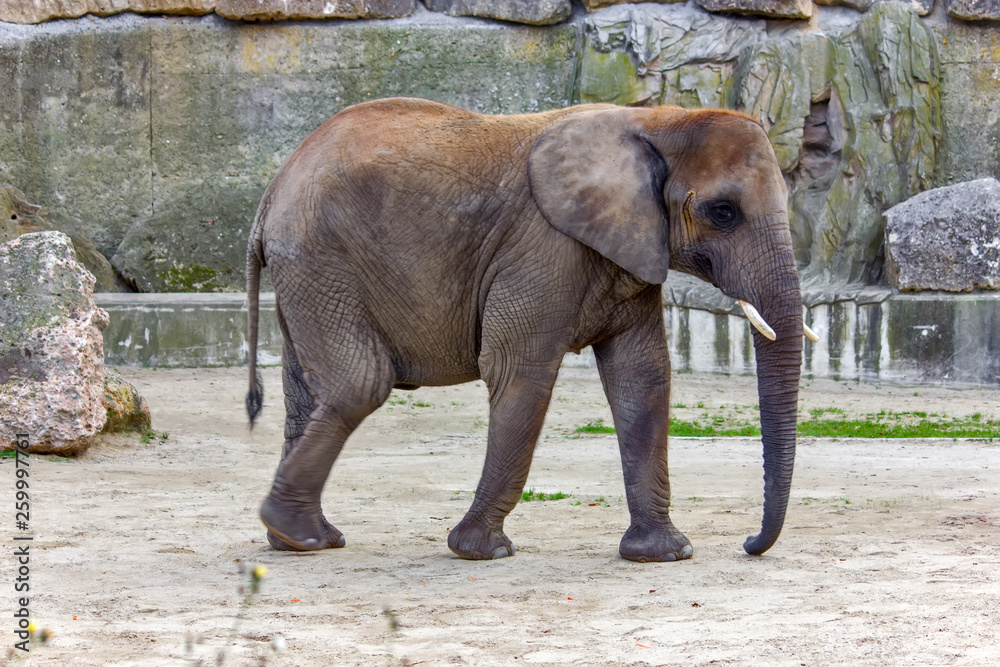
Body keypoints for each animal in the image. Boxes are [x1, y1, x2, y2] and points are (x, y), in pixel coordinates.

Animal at [245, 97, 816, 562]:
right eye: (723, 212)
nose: (748, 543)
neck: (657, 118)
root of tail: (271, 191)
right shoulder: (542, 246)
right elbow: (521, 371)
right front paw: (482, 551)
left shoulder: (630, 247)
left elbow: (643, 376)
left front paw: (665, 554)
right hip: (321, 259)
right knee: (358, 384)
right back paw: (297, 532)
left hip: (308, 273)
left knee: (310, 394)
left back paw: (301, 539)